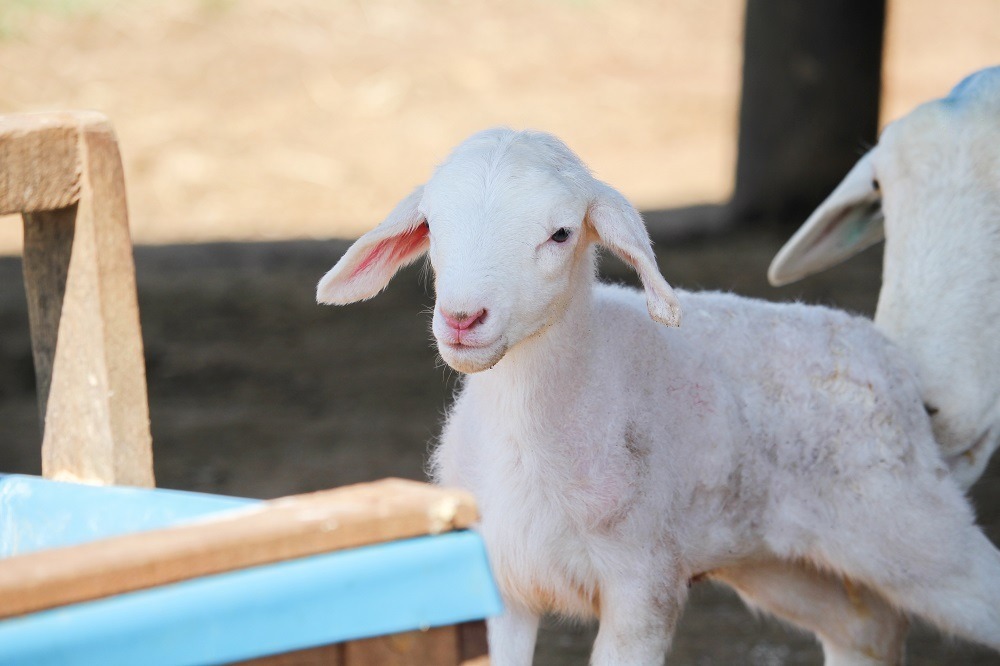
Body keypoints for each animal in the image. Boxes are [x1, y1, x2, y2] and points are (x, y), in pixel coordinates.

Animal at [316, 127, 1000, 660]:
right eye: (432, 226)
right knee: (868, 628)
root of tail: (887, 354)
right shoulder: (503, 587)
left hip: (915, 529)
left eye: (560, 233)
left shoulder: (642, 587)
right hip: (778, 560)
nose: (462, 319)